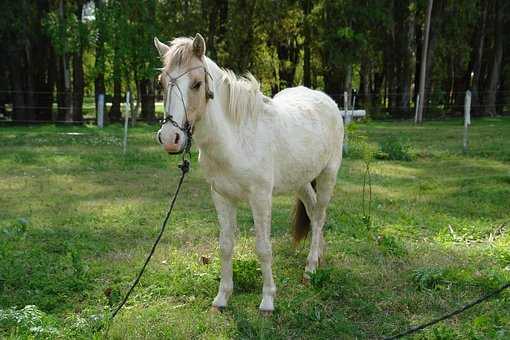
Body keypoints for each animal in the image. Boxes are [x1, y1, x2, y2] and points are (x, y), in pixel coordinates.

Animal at [154, 33, 342, 312]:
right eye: (162, 83)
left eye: (197, 84)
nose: (170, 138)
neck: (236, 138)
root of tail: (328, 101)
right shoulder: (221, 197)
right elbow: (225, 246)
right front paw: (222, 298)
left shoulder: (260, 198)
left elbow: (263, 248)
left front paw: (268, 300)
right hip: (301, 181)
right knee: (311, 210)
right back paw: (318, 257)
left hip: (328, 175)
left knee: (319, 217)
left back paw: (310, 270)